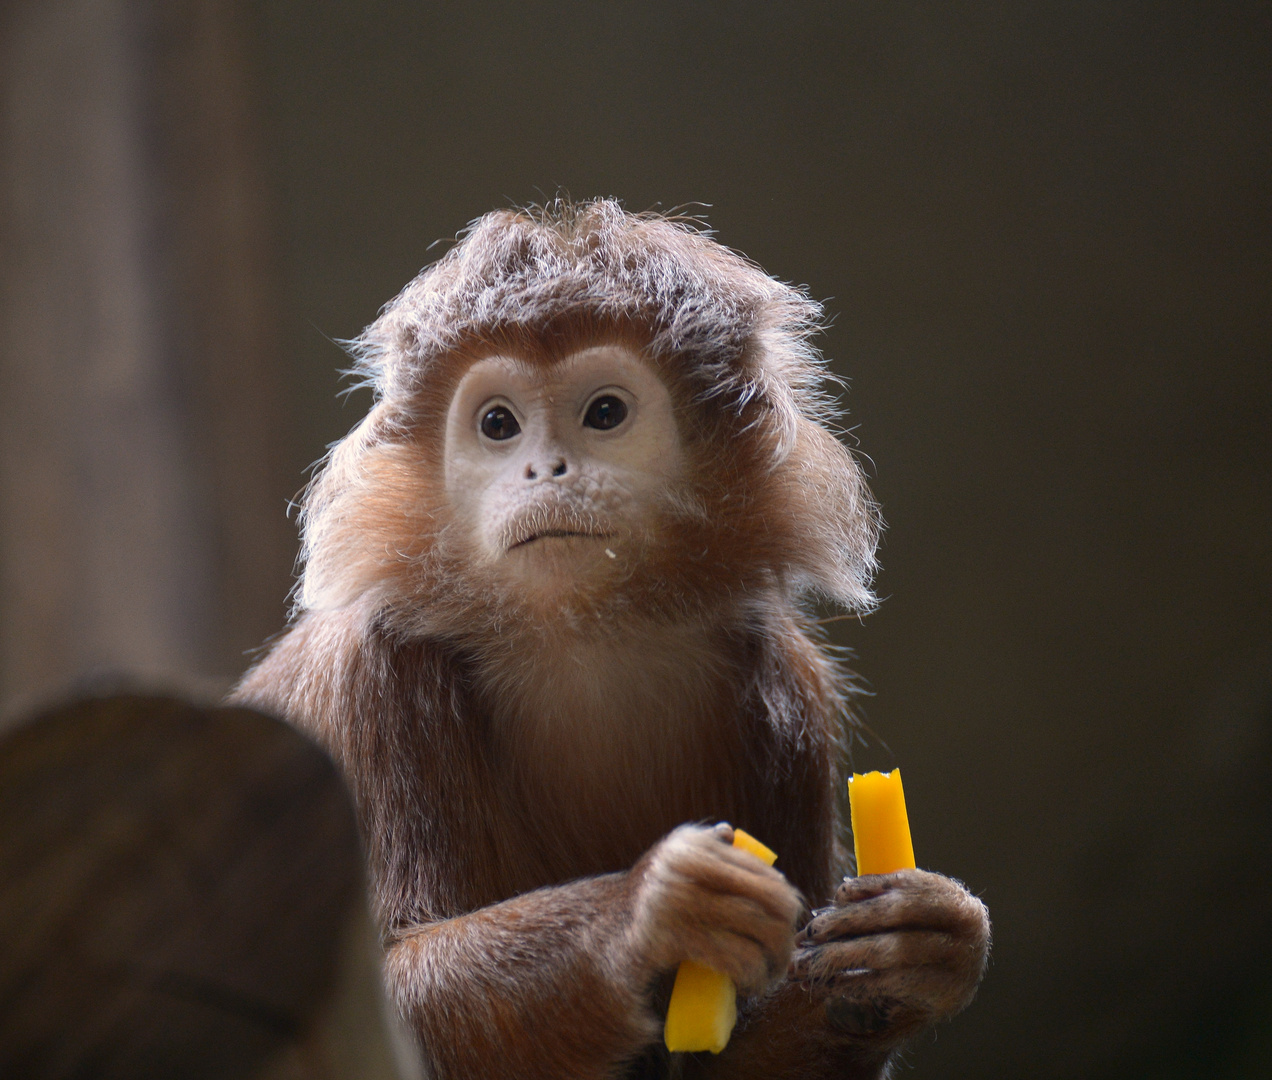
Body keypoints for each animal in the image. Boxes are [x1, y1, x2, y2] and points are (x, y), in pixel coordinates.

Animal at [231, 202, 981, 1078]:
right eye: (498, 424)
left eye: (605, 414)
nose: (546, 470)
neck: (580, 639)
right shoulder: (368, 681)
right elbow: (374, 998)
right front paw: (648, 911)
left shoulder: (788, 692)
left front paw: (925, 950)